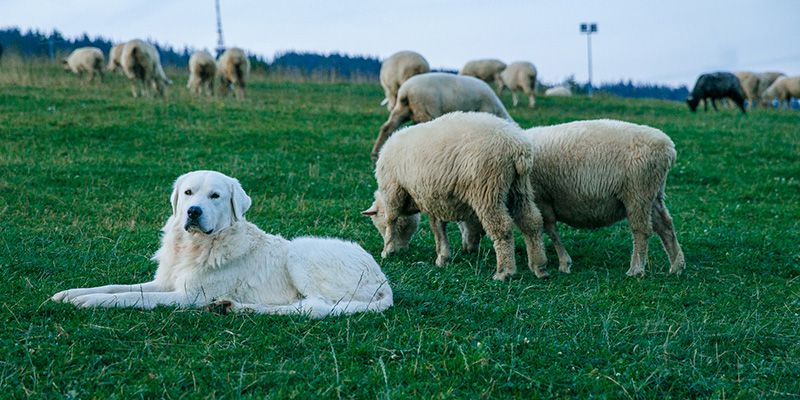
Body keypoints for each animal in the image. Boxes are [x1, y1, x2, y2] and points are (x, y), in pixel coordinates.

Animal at [51, 170, 396, 318]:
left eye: (215, 196)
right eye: (188, 193)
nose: (193, 211)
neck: (197, 245)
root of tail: (384, 281)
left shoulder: (187, 297)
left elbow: (131, 298)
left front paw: (90, 302)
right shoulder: (166, 283)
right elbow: (117, 287)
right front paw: (71, 294)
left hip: (301, 252)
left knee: (314, 307)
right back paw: (230, 306)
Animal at [362, 111, 552, 282]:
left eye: (377, 225)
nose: (402, 250)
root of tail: (517, 148)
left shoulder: (394, 190)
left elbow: (392, 220)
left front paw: (387, 250)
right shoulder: (433, 197)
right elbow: (438, 227)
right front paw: (443, 257)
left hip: (488, 190)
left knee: (502, 227)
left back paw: (505, 272)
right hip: (519, 188)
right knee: (532, 222)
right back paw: (539, 266)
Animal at [370, 72, 510, 160]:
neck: (498, 111)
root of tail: (406, 90)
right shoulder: (484, 111)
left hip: (403, 109)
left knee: (387, 127)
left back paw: (375, 153)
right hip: (424, 108)